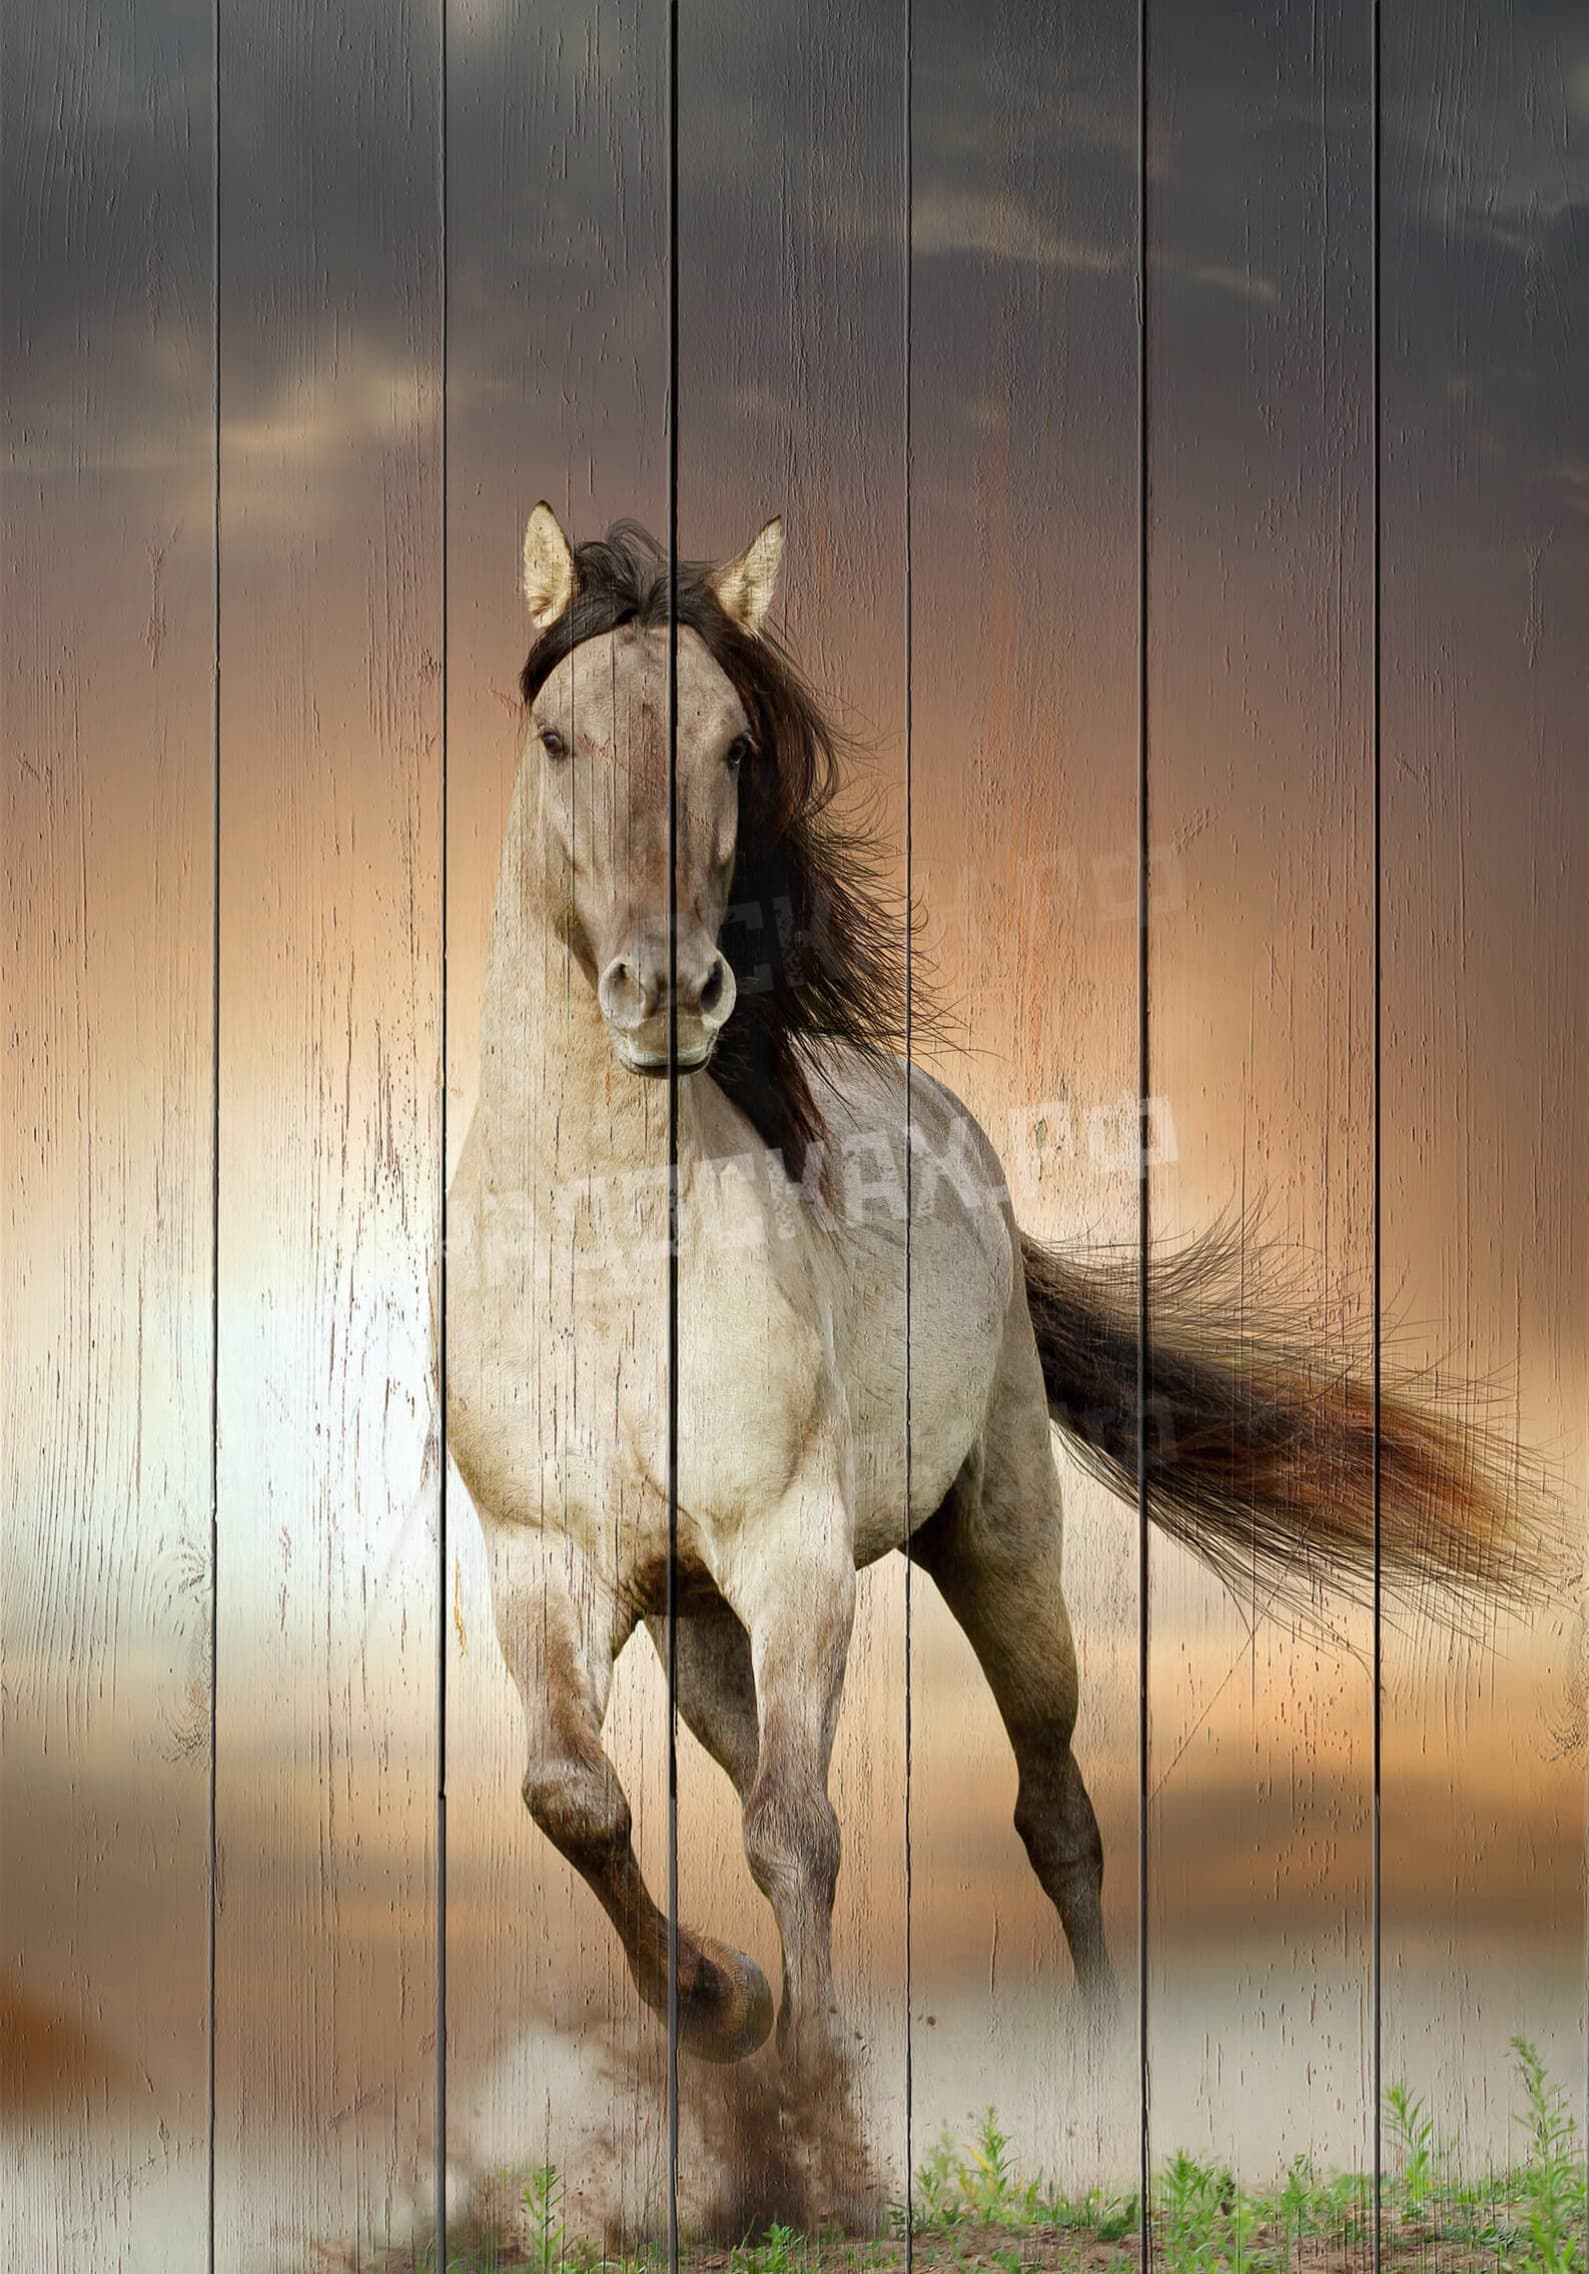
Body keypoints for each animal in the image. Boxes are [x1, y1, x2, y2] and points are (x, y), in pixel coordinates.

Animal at [443, 503, 1542, 2085]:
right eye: (555, 738)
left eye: (734, 745)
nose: (669, 992)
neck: (598, 1249)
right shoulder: (546, 1562)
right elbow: (574, 1799)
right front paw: (722, 2003)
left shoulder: (793, 1551)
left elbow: (796, 1832)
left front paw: (806, 2090)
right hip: (701, 1625)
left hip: (999, 1544)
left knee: (1052, 1810)